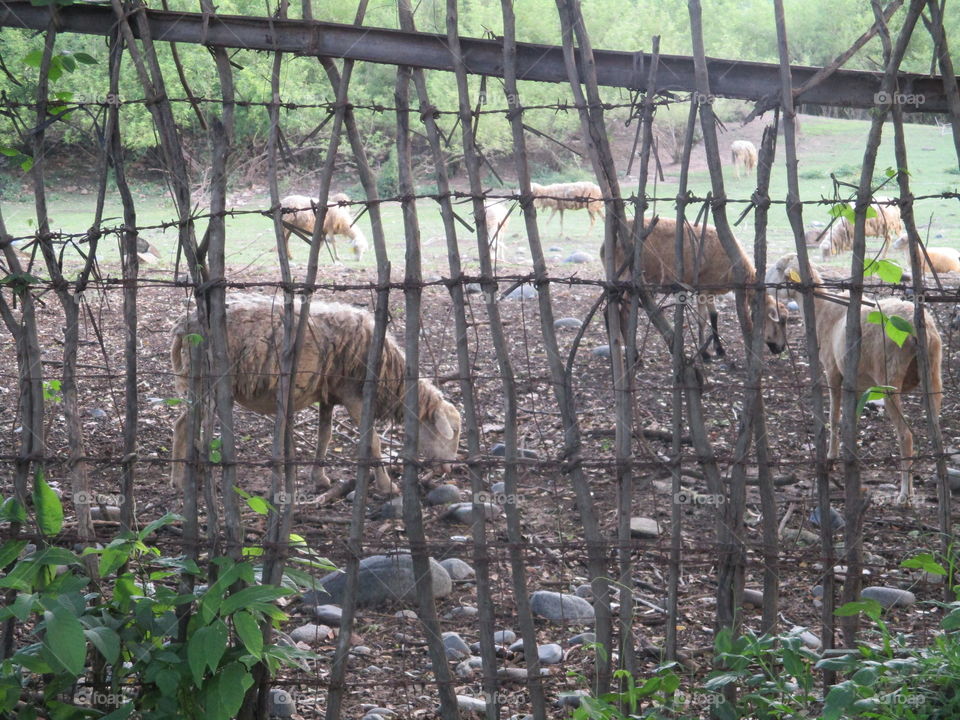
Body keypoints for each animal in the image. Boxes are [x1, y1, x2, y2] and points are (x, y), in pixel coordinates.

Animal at [169, 292, 462, 496]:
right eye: (453, 431)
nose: (449, 469)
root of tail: (183, 325)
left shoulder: (329, 394)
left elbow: (325, 435)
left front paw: (319, 478)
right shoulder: (355, 396)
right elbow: (373, 441)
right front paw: (387, 486)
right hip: (204, 380)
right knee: (183, 425)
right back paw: (180, 481)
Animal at [608, 214, 788, 360]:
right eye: (779, 323)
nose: (781, 348)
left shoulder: (709, 289)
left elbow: (714, 316)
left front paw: (719, 349)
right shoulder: (703, 288)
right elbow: (702, 319)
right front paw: (705, 353)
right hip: (629, 280)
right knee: (623, 314)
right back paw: (635, 357)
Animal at [764, 256, 944, 504]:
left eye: (778, 268)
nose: (764, 285)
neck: (821, 308)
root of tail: (919, 331)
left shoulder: (832, 370)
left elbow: (834, 417)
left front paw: (831, 458)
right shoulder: (857, 385)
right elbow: (852, 420)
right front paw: (850, 455)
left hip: (889, 378)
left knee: (905, 435)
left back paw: (904, 494)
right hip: (933, 374)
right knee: (936, 432)